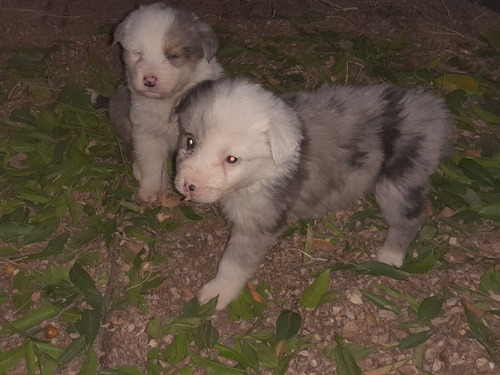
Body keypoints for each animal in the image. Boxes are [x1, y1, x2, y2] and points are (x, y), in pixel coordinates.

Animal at [175, 78, 454, 310]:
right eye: (190, 141)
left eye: (232, 159)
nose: (189, 186)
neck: (263, 173)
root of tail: (433, 109)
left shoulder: (260, 220)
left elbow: (234, 261)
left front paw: (217, 293)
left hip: (399, 180)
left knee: (411, 217)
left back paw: (390, 256)